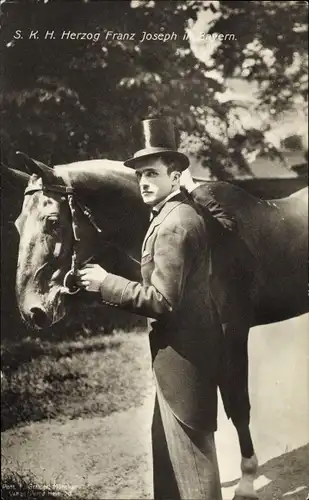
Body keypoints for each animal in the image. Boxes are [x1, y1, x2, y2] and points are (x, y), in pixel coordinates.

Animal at [3, 153, 308, 500]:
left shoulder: (233, 332)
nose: (33, 311)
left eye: (53, 221)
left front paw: (246, 482)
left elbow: (238, 407)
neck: (214, 230)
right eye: (17, 224)